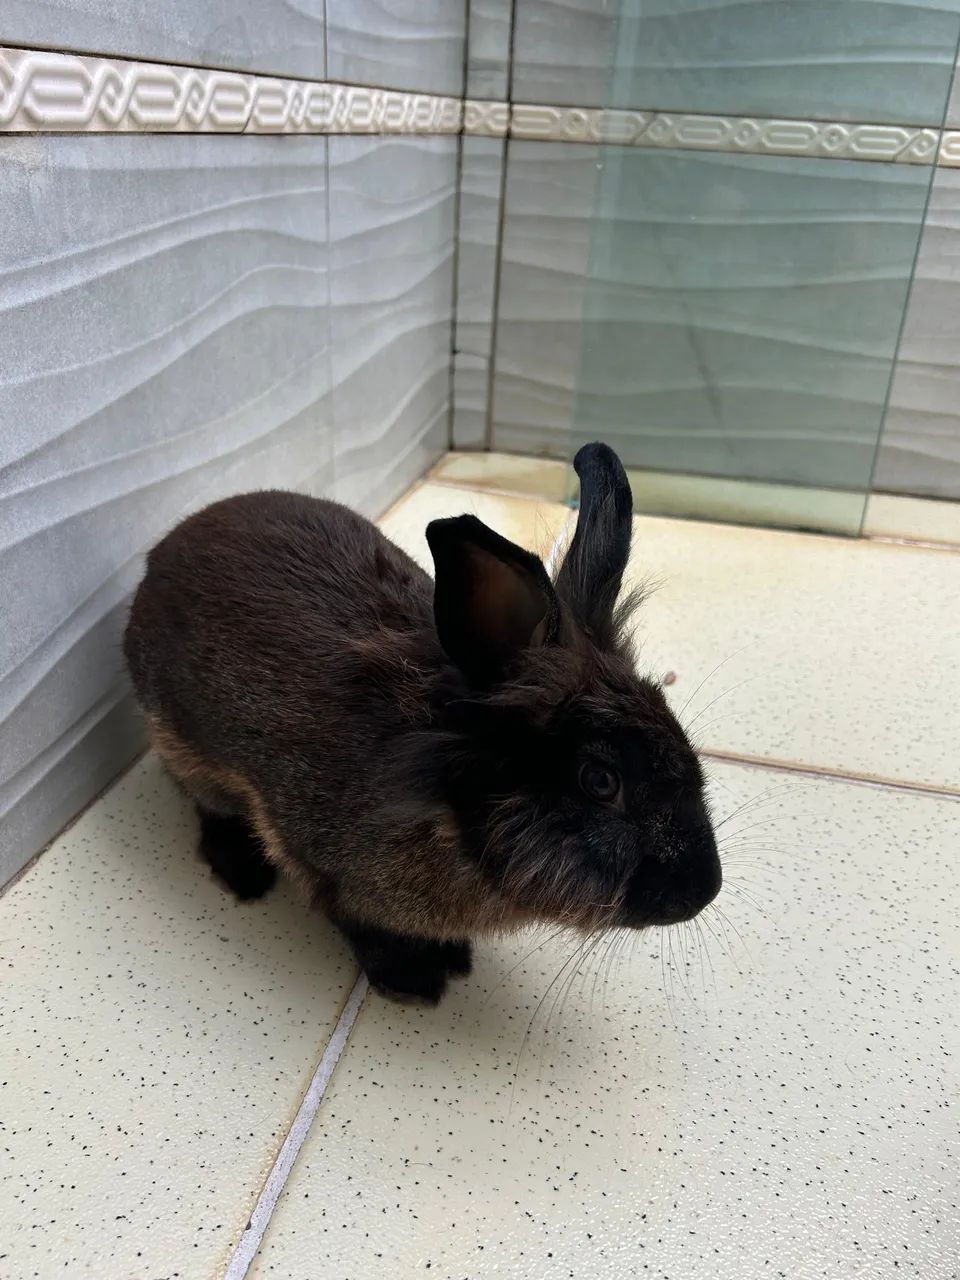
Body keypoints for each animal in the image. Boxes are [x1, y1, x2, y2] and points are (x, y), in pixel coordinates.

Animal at [123, 443, 721, 1004]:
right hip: (181, 745)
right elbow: (362, 927)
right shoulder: (324, 869)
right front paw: (414, 981)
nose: (704, 891)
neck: (441, 797)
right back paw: (242, 874)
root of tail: (167, 549)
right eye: (600, 781)